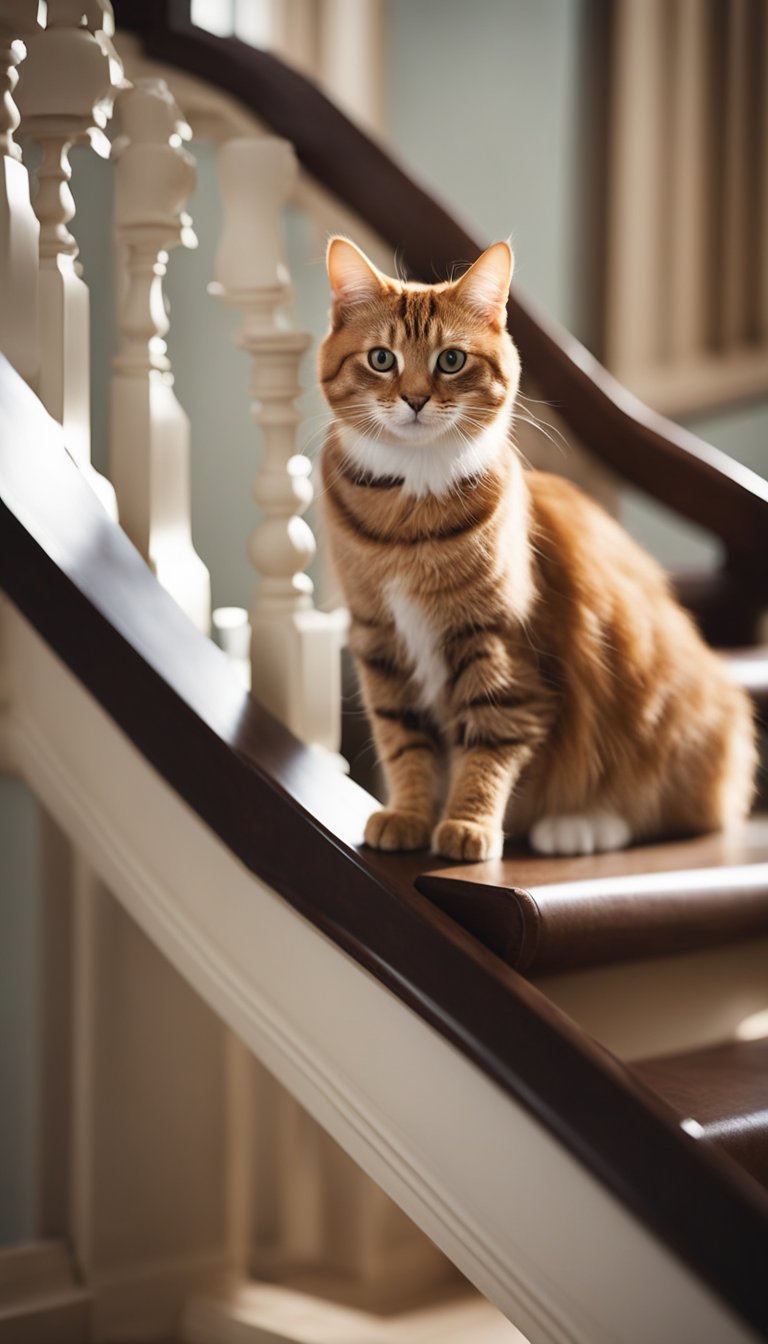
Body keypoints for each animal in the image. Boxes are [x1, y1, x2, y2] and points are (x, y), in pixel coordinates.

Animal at [316, 235, 753, 854]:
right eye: (382, 359)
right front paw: (409, 813)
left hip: (668, 716)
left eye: (451, 360)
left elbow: (490, 742)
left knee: (681, 809)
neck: (410, 523)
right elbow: (404, 741)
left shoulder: (498, 646)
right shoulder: (380, 640)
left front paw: (468, 825)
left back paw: (577, 827)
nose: (416, 400)